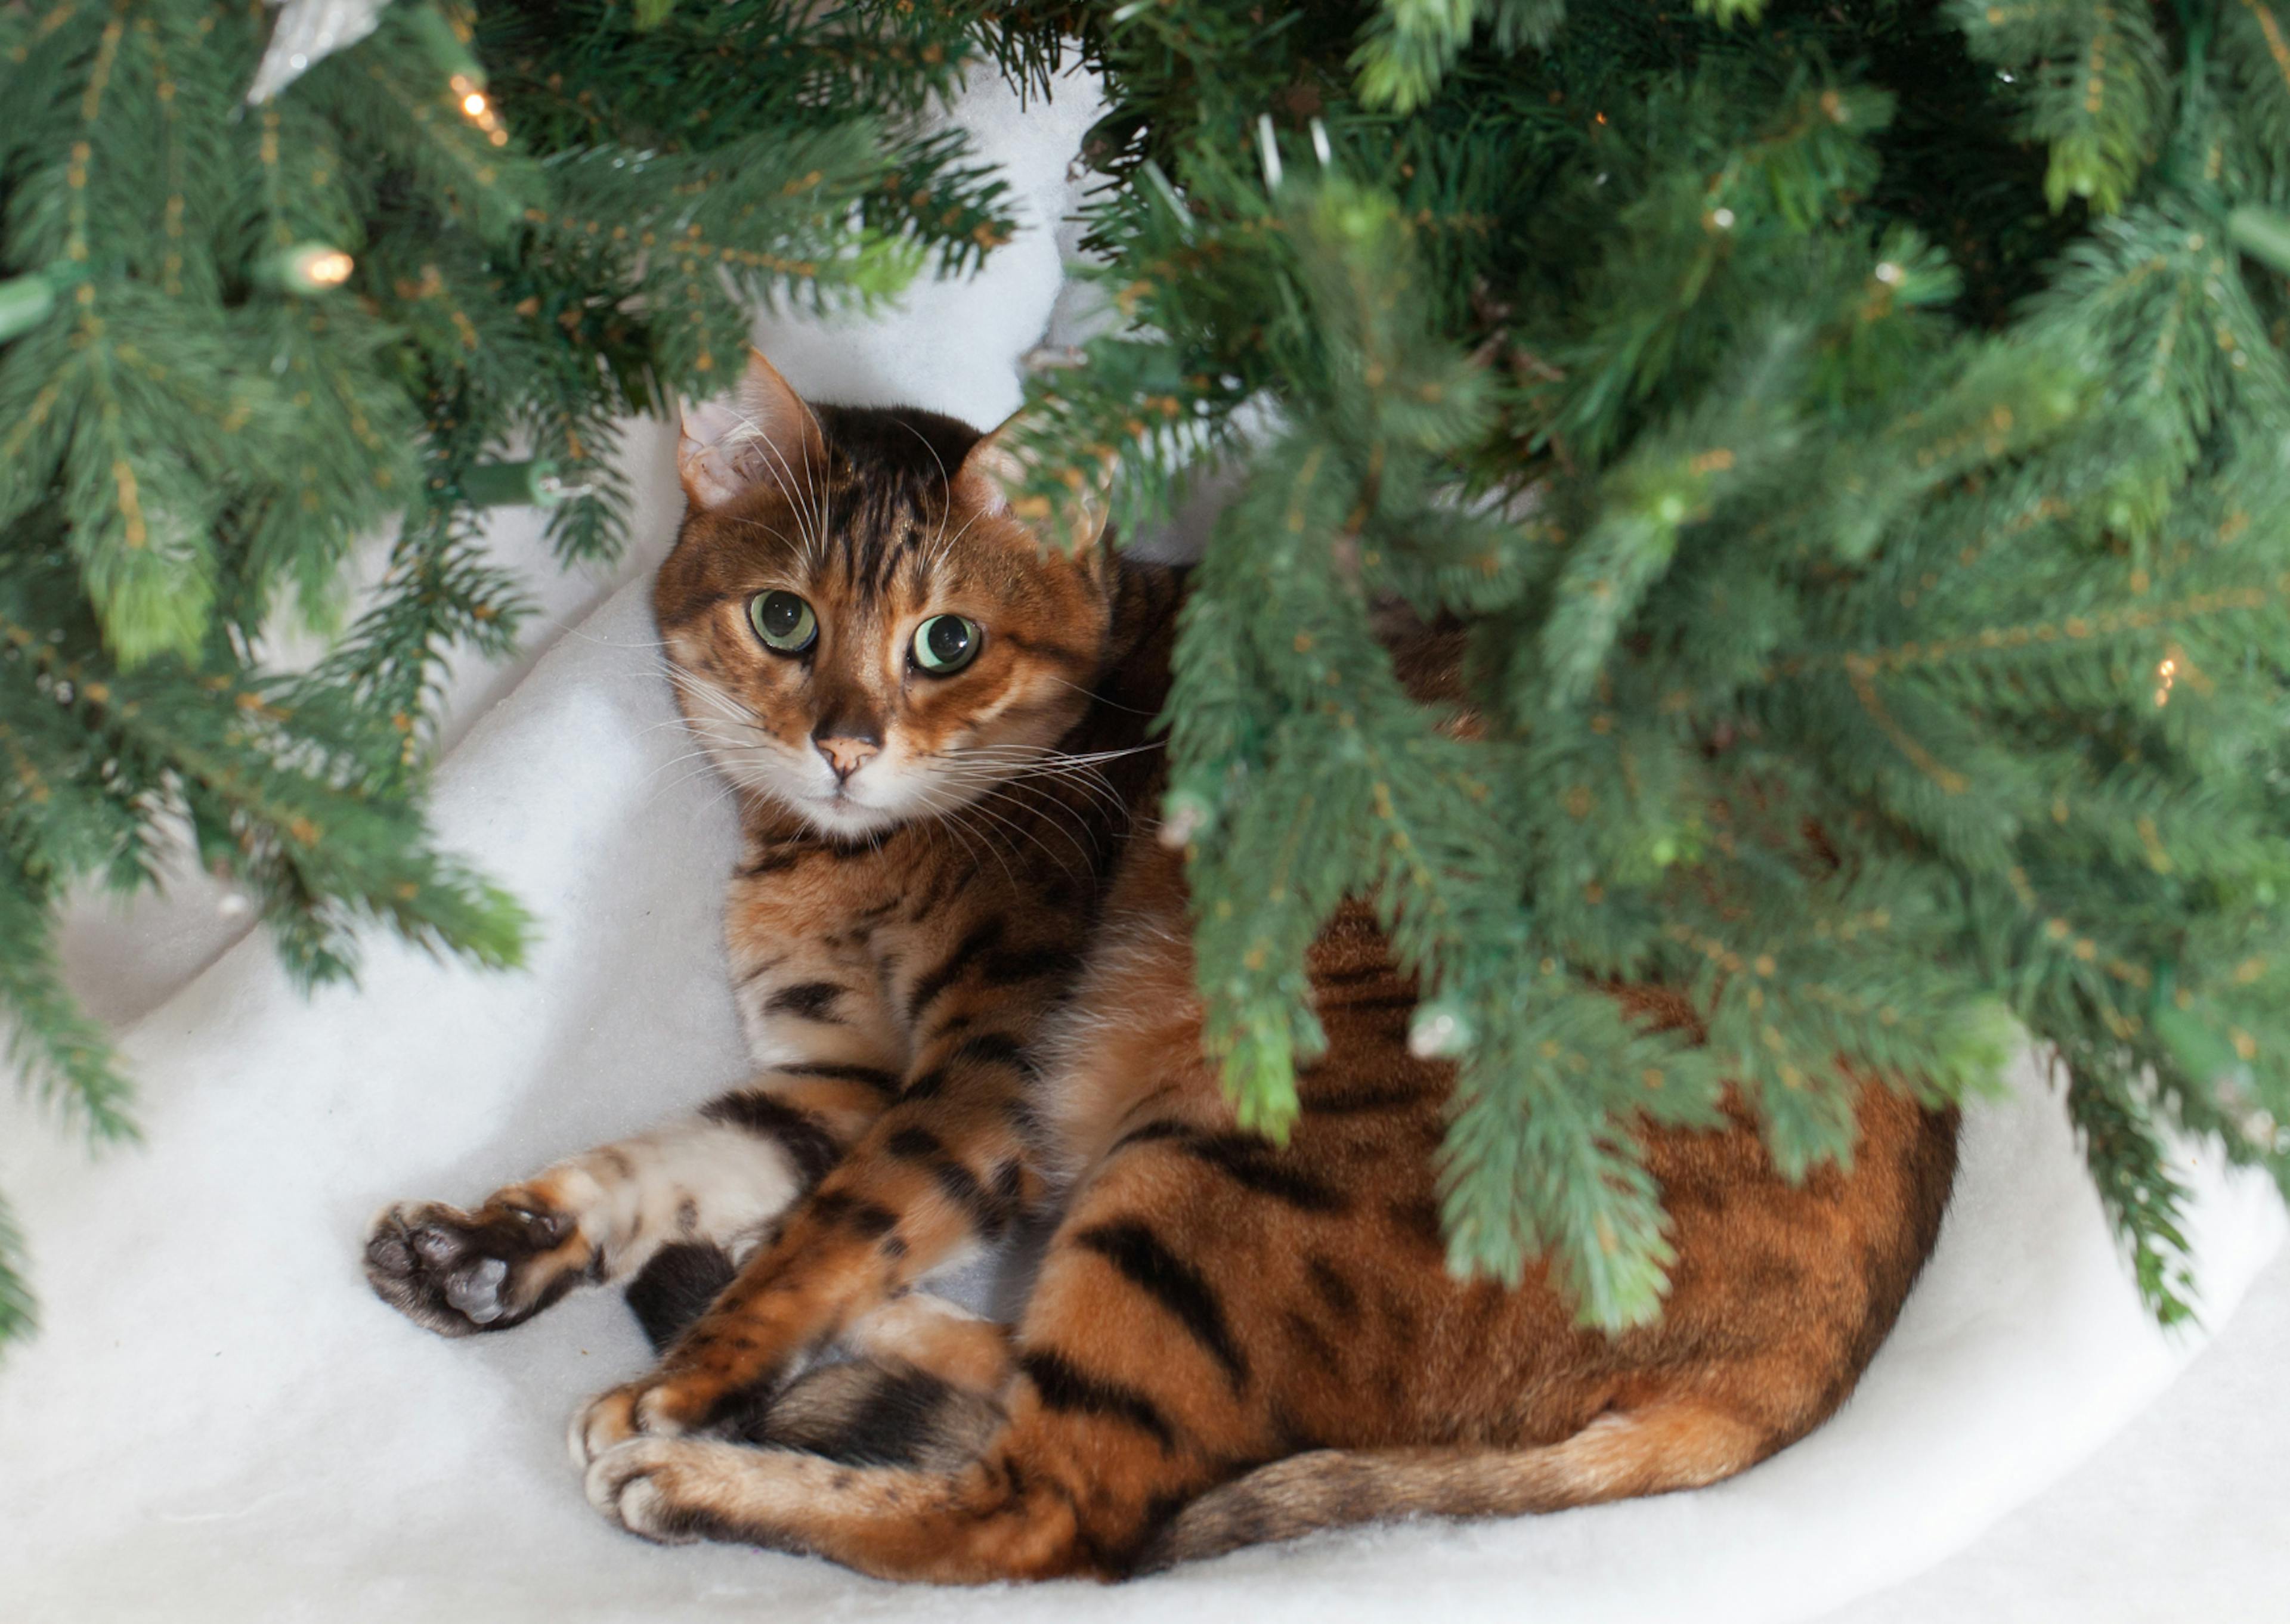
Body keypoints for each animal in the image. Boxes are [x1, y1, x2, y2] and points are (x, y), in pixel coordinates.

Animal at [366, 348, 1960, 1576]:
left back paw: (707, 1473)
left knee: (1053, 1512)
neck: (834, 858)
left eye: (947, 644)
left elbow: (826, 1232)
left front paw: (682, 1387)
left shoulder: (971, 1082)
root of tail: (1801, 1371)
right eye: (782, 618)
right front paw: (494, 1246)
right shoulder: (834, 1077)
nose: (843, 746)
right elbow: (663, 1162)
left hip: (1216, 1160)